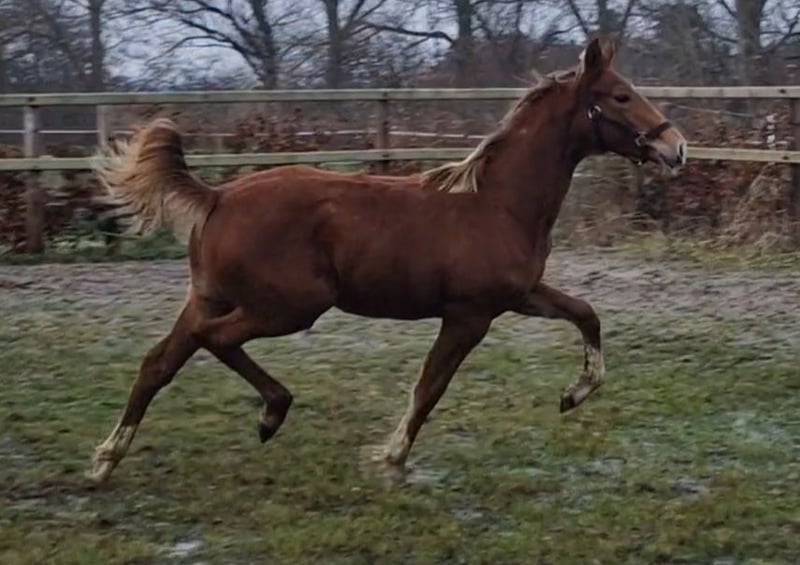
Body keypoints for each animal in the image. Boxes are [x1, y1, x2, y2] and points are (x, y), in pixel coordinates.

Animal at [88, 37, 687, 483]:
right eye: (621, 96)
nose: (676, 147)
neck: (496, 202)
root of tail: (218, 196)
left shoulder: (520, 296)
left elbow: (587, 313)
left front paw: (574, 394)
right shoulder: (469, 314)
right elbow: (429, 388)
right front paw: (391, 456)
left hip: (210, 296)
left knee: (160, 362)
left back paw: (106, 459)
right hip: (290, 306)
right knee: (214, 341)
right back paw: (271, 413)